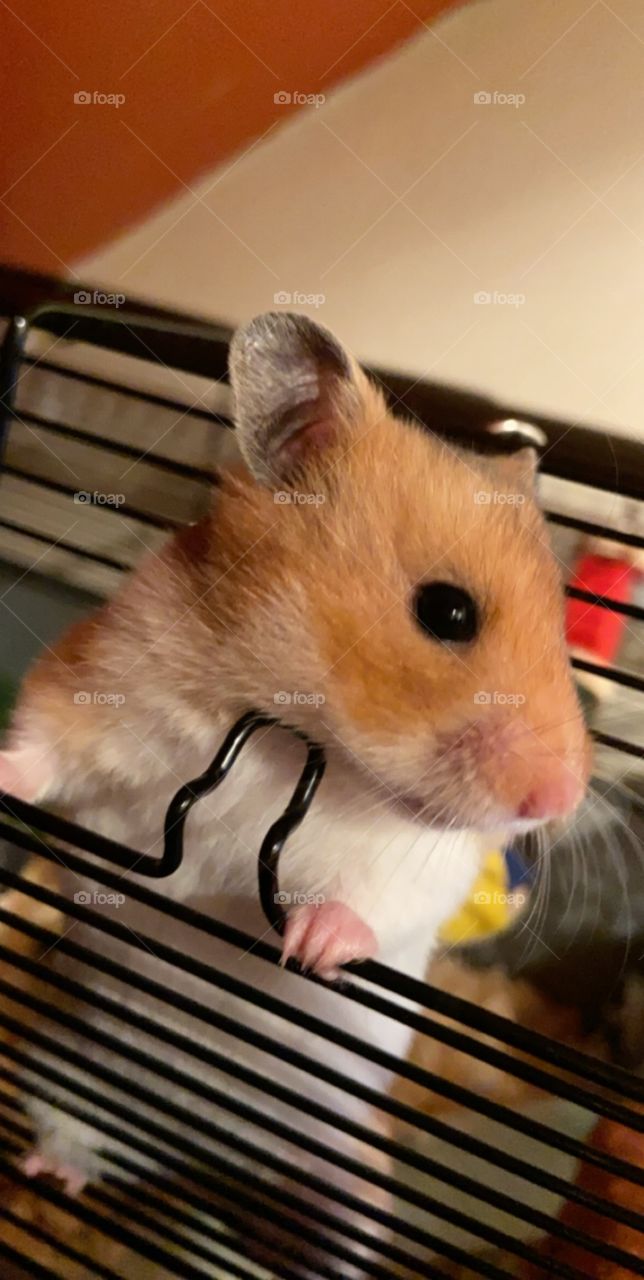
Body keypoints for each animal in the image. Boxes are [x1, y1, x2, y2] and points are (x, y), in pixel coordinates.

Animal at [0, 313, 590, 1277]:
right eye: (448, 612)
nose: (557, 799)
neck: (291, 736)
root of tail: (207, 1151)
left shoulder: (419, 863)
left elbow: (372, 901)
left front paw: (307, 947)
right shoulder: (104, 678)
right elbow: (42, 745)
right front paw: (2, 774)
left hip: (348, 1167)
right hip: (67, 1073)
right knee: (73, 1136)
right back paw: (51, 1174)